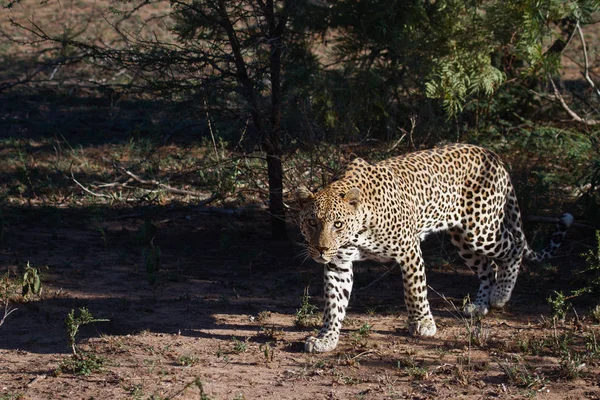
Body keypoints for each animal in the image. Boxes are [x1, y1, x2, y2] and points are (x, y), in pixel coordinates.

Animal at [298, 144, 576, 354]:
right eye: (312, 222)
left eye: (338, 224)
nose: (321, 249)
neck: (357, 231)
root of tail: (493, 155)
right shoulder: (338, 264)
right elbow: (334, 303)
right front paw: (326, 339)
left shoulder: (409, 250)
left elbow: (415, 290)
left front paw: (423, 324)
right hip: (463, 240)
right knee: (488, 267)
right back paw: (480, 305)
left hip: (482, 229)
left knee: (514, 247)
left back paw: (500, 295)